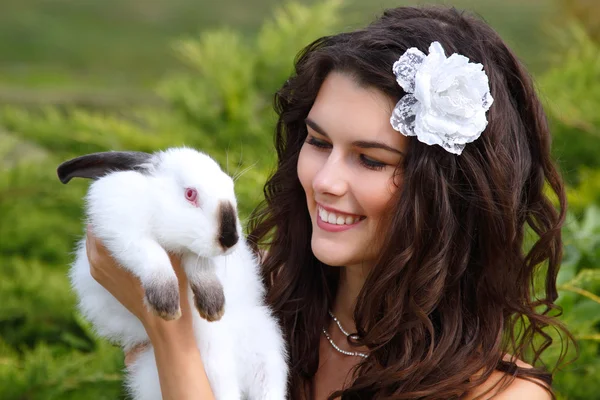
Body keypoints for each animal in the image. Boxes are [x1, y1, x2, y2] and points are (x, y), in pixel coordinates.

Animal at [56, 148, 288, 400]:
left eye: (229, 186)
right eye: (190, 194)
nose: (230, 239)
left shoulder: (196, 254)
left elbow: (201, 266)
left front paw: (213, 305)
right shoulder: (123, 230)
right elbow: (153, 256)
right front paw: (166, 305)